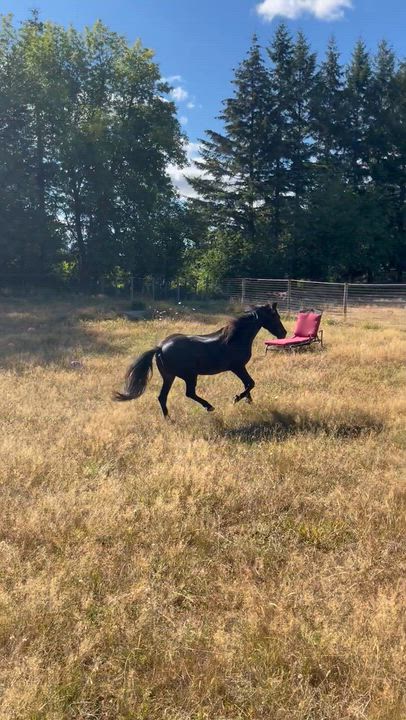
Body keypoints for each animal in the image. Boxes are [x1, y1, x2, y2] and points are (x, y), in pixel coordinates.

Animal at [113, 302, 287, 418]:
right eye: (275, 316)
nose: (283, 333)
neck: (236, 339)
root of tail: (160, 347)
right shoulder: (237, 367)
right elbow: (250, 383)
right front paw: (237, 399)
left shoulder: (239, 368)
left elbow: (248, 384)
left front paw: (249, 403)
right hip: (190, 375)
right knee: (189, 393)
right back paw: (209, 407)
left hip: (169, 376)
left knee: (162, 397)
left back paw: (168, 418)